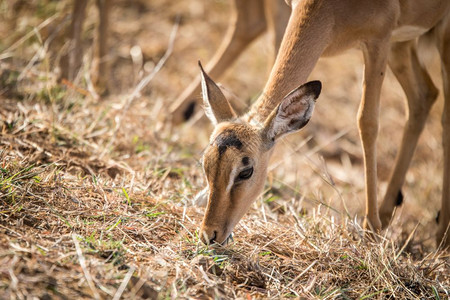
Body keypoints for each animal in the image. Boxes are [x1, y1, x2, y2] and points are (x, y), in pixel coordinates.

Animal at [197, 0, 450, 248]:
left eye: (246, 171)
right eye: (205, 163)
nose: (210, 234)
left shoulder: (379, 40)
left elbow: (367, 122)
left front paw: (371, 231)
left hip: (435, 35)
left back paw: (441, 237)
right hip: (403, 44)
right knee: (423, 96)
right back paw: (390, 214)